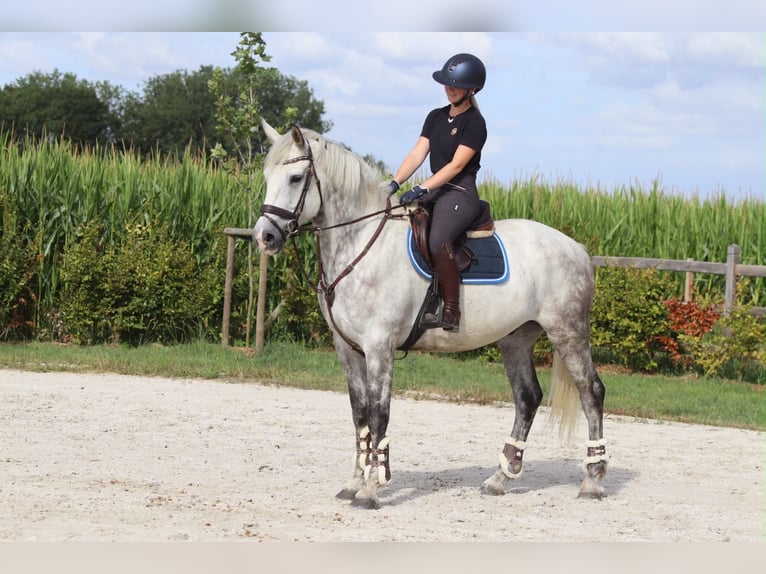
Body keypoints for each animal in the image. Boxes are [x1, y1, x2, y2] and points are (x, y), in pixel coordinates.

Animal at [253, 121, 607, 509]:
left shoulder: (379, 347)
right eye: (267, 176)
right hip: (516, 339)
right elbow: (359, 414)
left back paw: (592, 480)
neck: (362, 242)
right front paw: (353, 483)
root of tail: (576, 248)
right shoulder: (347, 348)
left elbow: (378, 414)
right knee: (527, 398)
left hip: (567, 332)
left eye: (296, 178)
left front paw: (370, 490)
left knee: (591, 391)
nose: (264, 236)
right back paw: (499, 479)